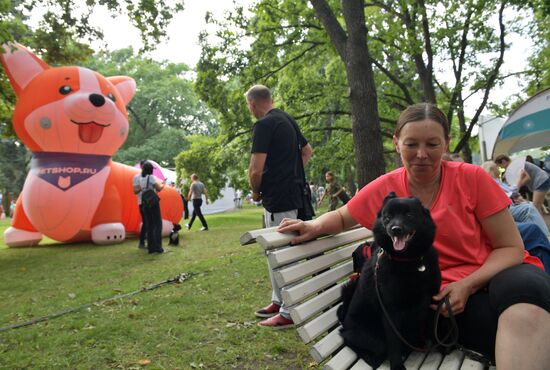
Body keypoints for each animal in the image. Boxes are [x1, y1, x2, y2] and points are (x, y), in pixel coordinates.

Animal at [336, 192, 444, 368]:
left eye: (409, 215)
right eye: (387, 217)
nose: (396, 229)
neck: (408, 261)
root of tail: (343, 319)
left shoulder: (433, 299)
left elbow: (433, 325)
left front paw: (441, 346)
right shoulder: (390, 311)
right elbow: (394, 343)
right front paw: (397, 365)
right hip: (370, 337)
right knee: (349, 339)